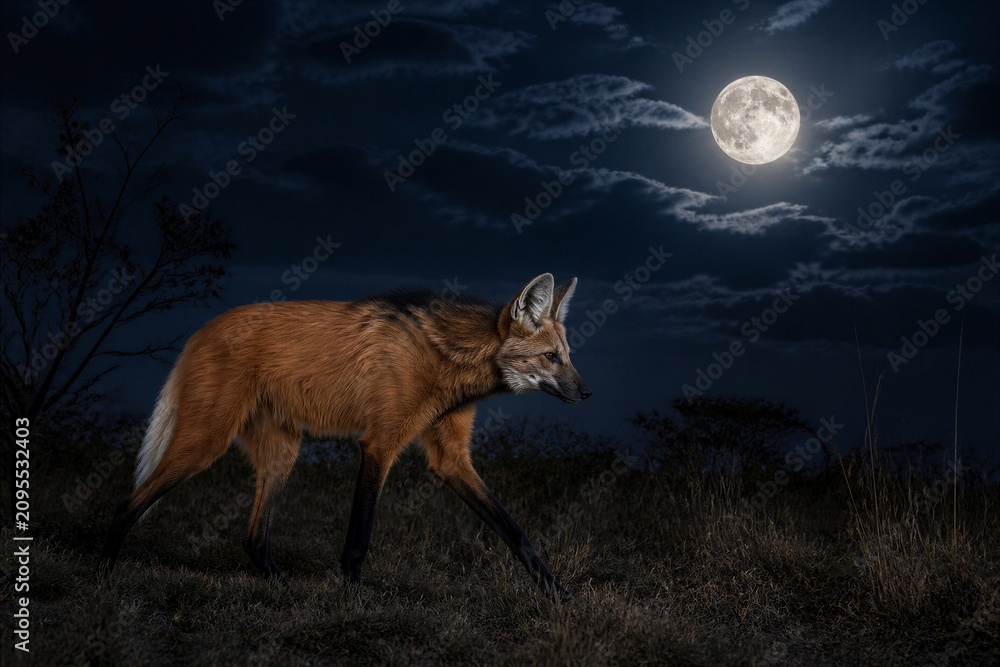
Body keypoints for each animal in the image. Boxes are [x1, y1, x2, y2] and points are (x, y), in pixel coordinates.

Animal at [99, 273, 590, 601]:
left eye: (567, 356)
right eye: (550, 357)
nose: (587, 393)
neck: (448, 359)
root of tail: (201, 330)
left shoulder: (450, 459)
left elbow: (514, 531)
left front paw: (556, 593)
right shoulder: (380, 443)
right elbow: (360, 535)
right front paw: (353, 599)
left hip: (283, 452)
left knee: (254, 537)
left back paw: (283, 588)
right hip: (206, 440)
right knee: (125, 505)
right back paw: (102, 575)